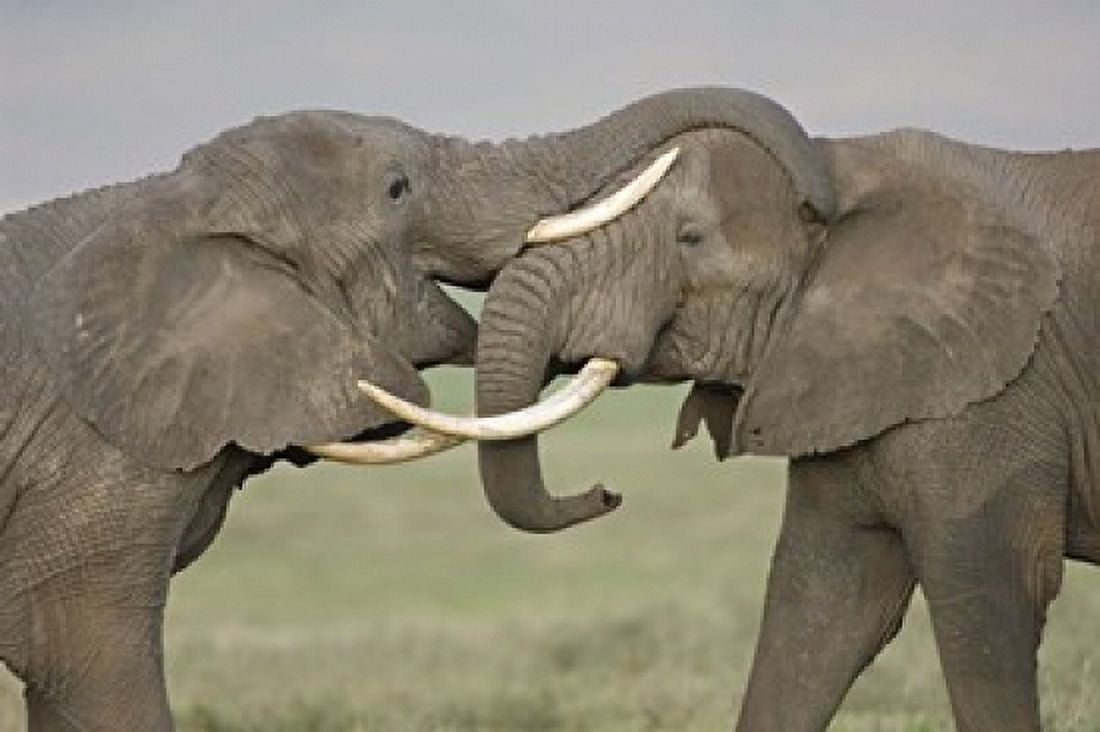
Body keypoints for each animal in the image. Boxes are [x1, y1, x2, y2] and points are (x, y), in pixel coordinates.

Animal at [365, 88, 1100, 730]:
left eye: (689, 239)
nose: (605, 493)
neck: (848, 165)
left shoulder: (995, 392)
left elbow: (989, 602)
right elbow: (820, 604)